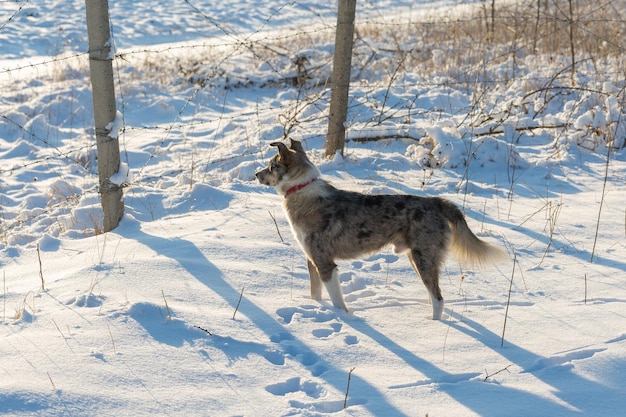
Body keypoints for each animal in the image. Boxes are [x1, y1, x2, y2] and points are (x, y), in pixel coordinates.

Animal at [256, 138, 504, 316]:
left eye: (271, 166)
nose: (256, 174)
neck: (301, 191)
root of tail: (437, 202)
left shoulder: (325, 263)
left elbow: (337, 302)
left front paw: (343, 318)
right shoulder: (312, 260)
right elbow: (315, 293)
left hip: (424, 257)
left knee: (439, 299)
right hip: (417, 258)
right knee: (434, 294)